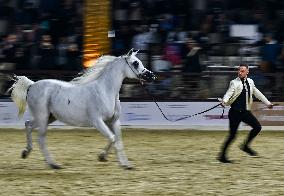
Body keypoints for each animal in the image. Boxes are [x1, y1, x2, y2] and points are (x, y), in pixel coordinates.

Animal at [8, 48, 155, 168]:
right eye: (135, 63)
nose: (151, 76)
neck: (105, 91)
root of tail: (32, 85)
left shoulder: (113, 121)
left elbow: (117, 141)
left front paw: (123, 163)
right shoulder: (97, 121)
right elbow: (113, 138)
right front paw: (107, 158)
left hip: (48, 117)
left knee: (28, 125)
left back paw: (26, 152)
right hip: (43, 117)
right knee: (41, 139)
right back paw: (54, 164)